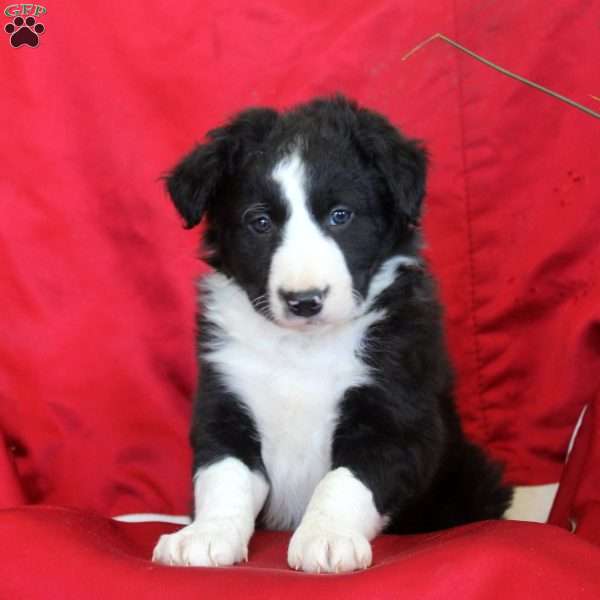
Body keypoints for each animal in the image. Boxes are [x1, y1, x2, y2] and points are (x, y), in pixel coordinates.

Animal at [151, 97, 510, 572]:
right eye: (259, 222)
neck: (303, 348)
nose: (304, 300)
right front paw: (205, 535)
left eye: (341, 216)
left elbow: (344, 481)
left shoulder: (396, 416)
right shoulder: (224, 404)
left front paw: (327, 537)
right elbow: (222, 475)